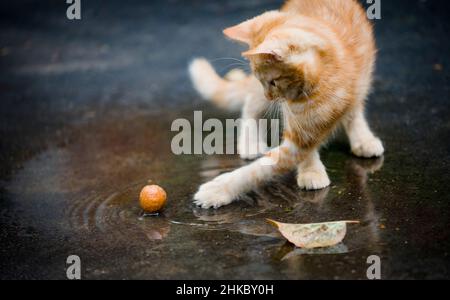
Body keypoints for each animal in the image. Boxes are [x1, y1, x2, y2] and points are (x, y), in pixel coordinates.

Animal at [190, 0, 384, 209]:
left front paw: (218, 189)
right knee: (250, 103)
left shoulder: (303, 134)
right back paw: (250, 143)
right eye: (262, 80)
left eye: (273, 82)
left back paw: (363, 139)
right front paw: (310, 168)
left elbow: (259, 170)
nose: (268, 96)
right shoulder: (295, 121)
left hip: (364, 78)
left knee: (354, 110)